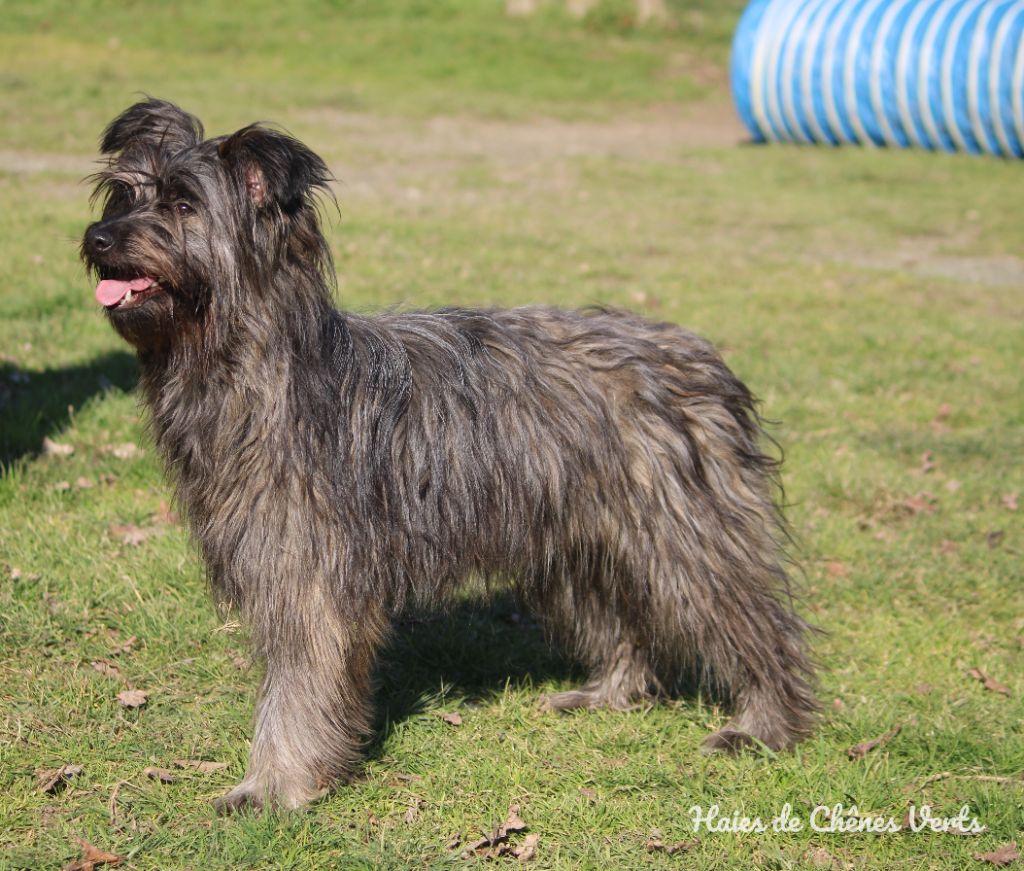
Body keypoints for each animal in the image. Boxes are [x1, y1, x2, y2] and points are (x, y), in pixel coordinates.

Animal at [79, 100, 819, 810]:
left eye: (183, 205)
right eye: (123, 194)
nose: (98, 238)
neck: (252, 373)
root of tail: (696, 354)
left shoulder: (310, 581)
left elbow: (297, 693)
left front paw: (274, 785)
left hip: (683, 532)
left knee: (754, 619)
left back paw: (766, 725)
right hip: (577, 537)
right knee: (621, 621)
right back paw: (608, 693)